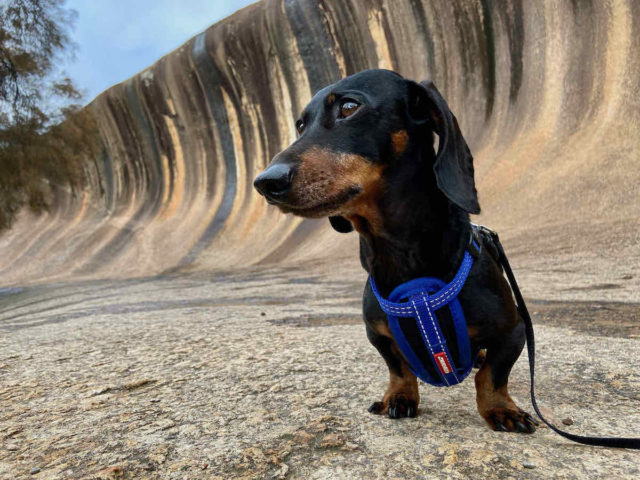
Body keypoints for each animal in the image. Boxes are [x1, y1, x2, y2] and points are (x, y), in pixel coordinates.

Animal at [252, 69, 536, 434]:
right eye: (301, 125)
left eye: (348, 107)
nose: (265, 183)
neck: (403, 259)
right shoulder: (377, 333)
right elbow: (398, 368)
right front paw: (399, 397)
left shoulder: (513, 331)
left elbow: (492, 376)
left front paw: (501, 408)